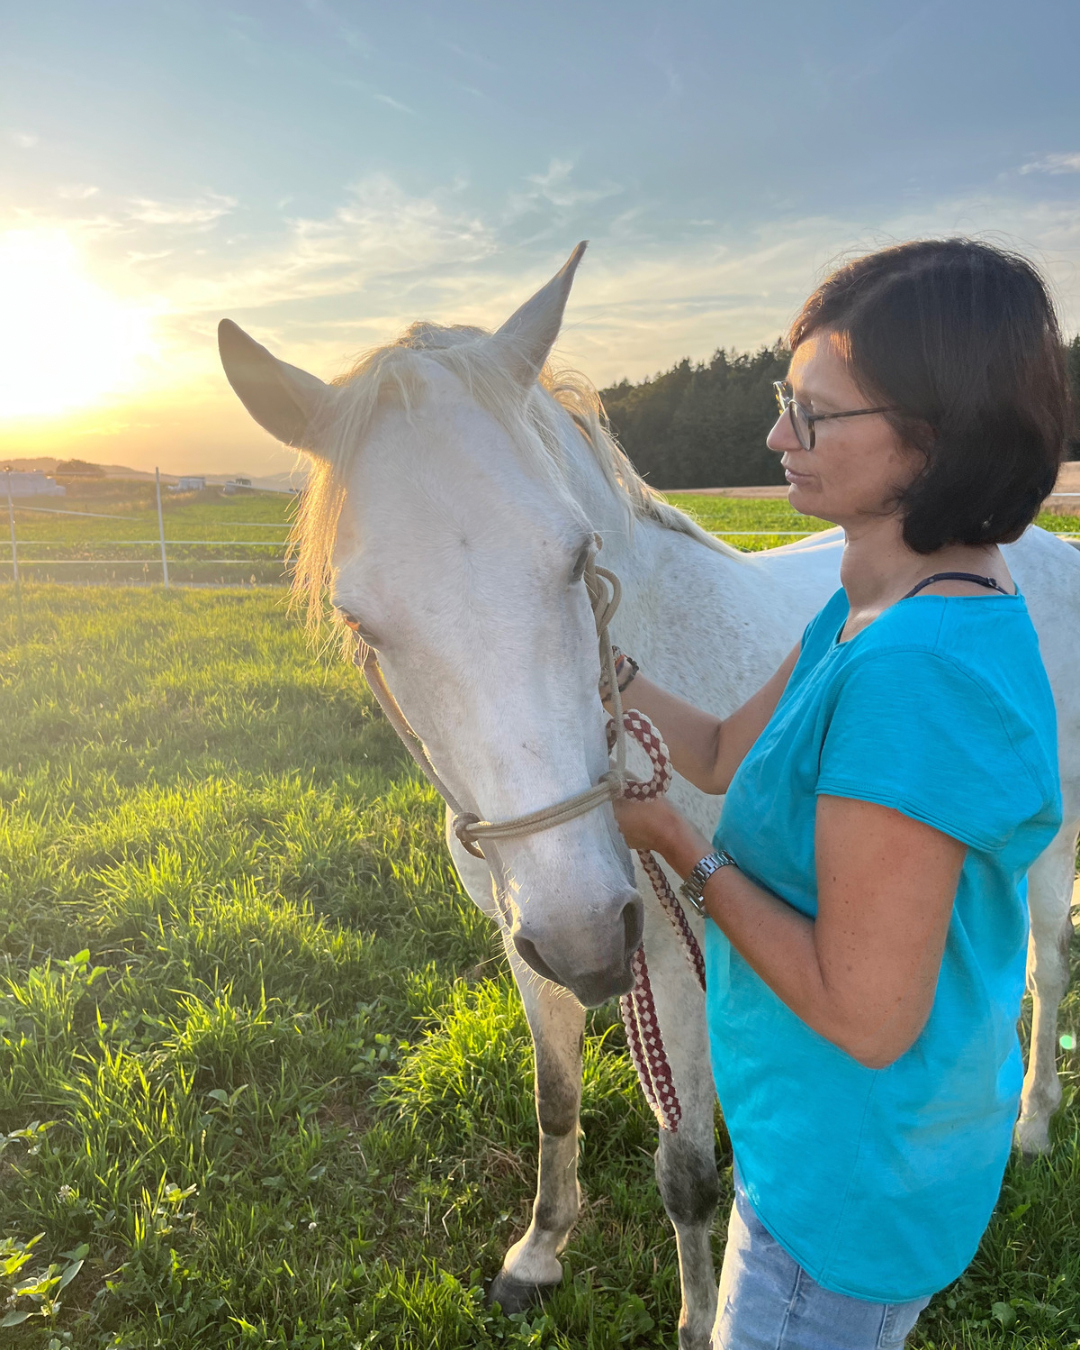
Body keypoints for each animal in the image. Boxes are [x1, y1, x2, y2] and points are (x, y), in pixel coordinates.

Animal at [218, 245, 1080, 1350]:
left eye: (577, 558)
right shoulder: (528, 939)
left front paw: (694, 1316)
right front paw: (536, 1255)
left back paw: (1031, 1126)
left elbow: (685, 1173)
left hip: (1050, 847)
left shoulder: (675, 953)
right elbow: (554, 1100)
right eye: (359, 617)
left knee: (1045, 971)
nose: (591, 933)